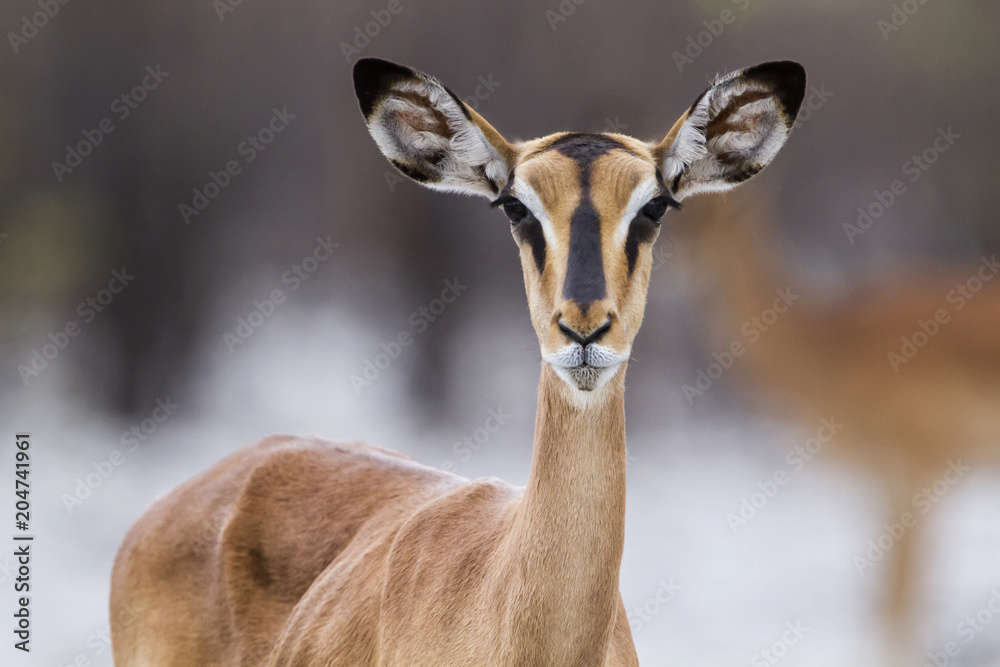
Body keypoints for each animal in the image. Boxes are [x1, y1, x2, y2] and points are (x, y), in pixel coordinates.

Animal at [673, 192, 1000, 658]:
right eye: (670, 213)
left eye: (724, 216)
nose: (686, 260)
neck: (833, 349)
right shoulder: (888, 491)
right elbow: (887, 603)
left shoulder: (917, 476)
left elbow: (898, 609)